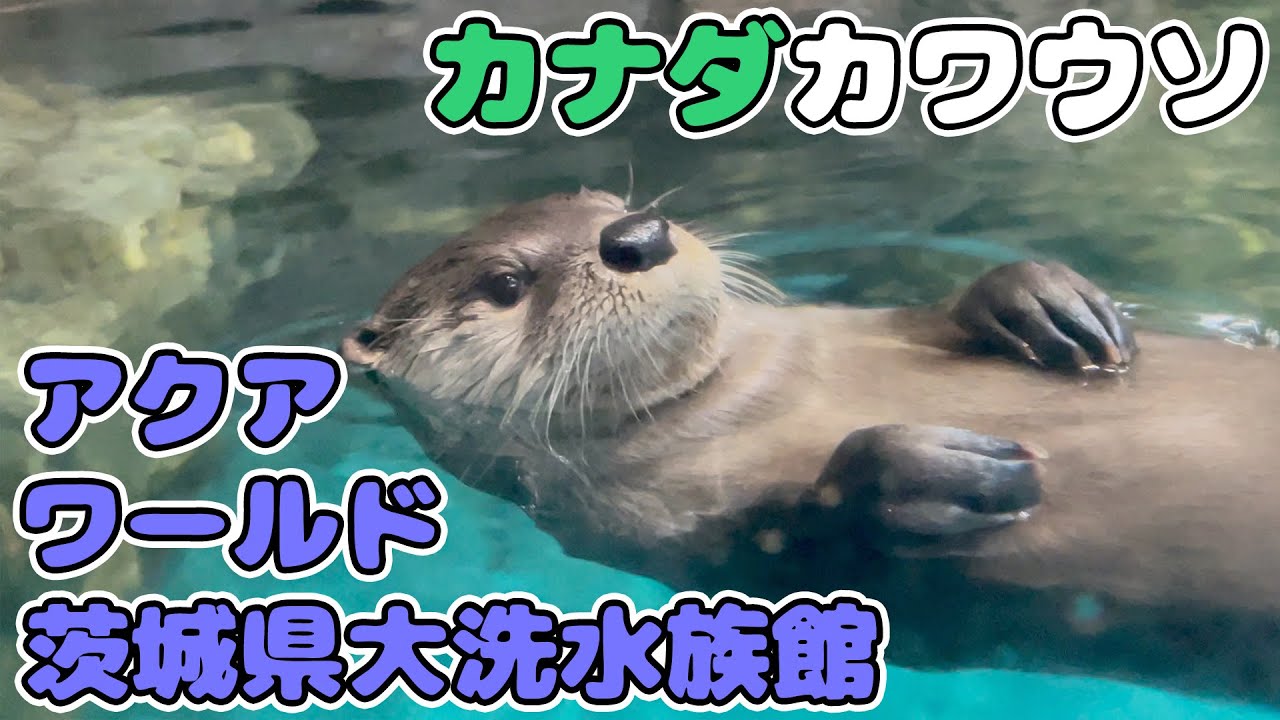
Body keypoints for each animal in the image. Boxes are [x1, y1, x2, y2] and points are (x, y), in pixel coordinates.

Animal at [340, 188, 1280, 708]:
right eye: (507, 283)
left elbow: (929, 313)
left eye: (612, 203)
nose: (638, 235)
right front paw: (921, 475)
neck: (743, 398)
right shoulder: (646, 532)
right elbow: (802, 549)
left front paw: (1037, 297)